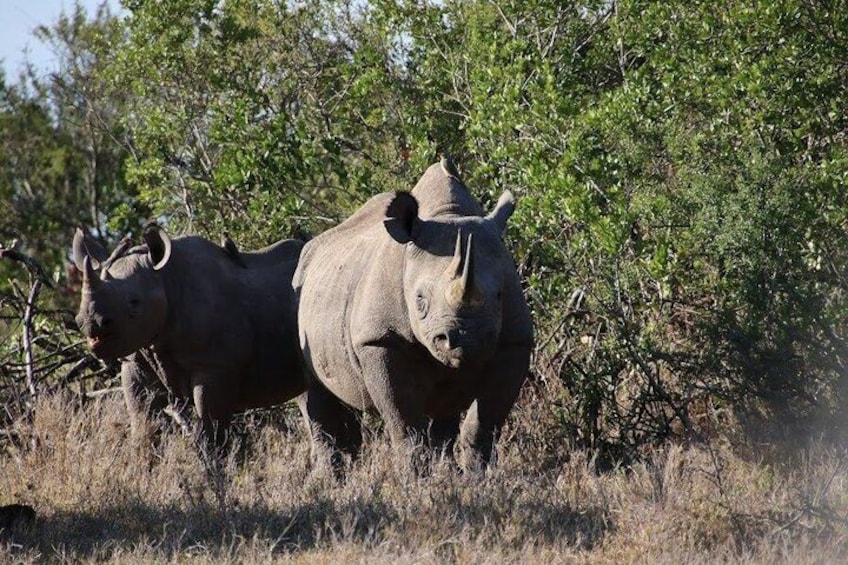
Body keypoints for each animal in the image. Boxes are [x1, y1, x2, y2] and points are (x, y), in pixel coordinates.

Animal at [72, 224, 306, 447]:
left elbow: (210, 429)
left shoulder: (215, 366)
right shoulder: (136, 358)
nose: (90, 322)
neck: (165, 279)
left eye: (134, 302)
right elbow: (143, 422)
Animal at [293, 159, 533, 468]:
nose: (466, 340)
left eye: (499, 296)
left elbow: (483, 424)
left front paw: (478, 475)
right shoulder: (379, 340)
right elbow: (405, 422)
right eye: (420, 301)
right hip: (297, 297)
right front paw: (414, 475)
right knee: (317, 395)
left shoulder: (514, 342)